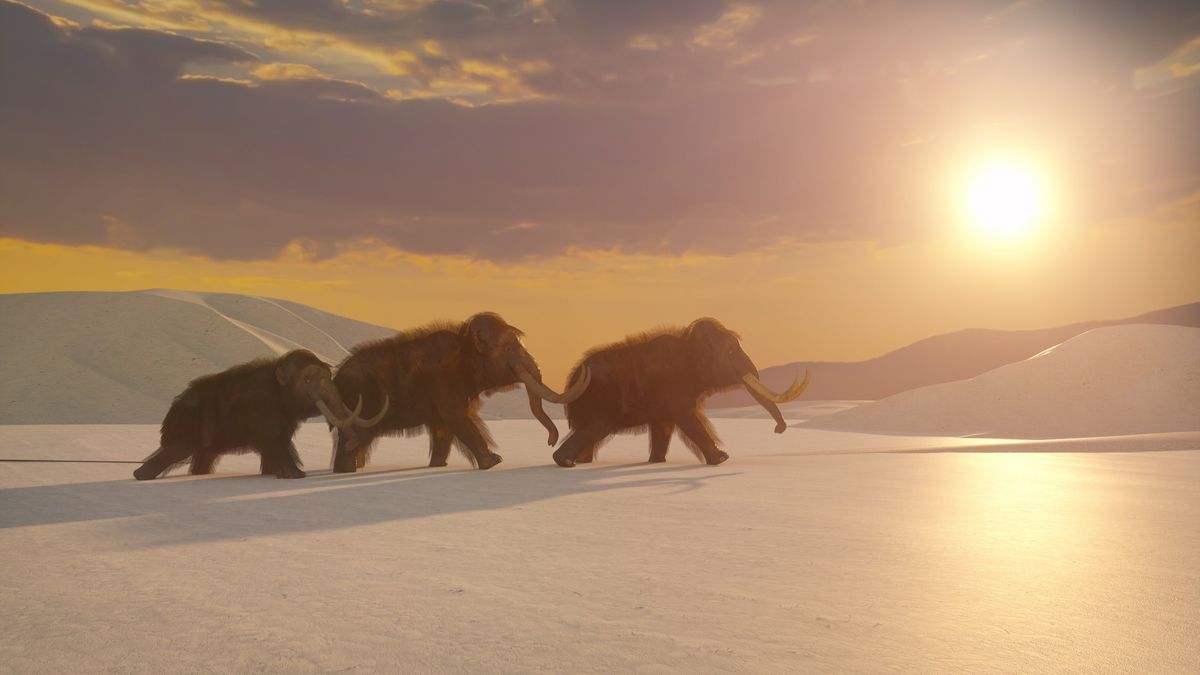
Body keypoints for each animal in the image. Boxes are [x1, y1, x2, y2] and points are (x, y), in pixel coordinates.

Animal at [133, 349, 384, 480]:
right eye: (308, 379)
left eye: (327, 376)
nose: (352, 444)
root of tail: (172, 410)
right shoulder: (263, 409)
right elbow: (275, 444)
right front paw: (297, 475)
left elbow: (276, 447)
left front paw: (274, 474)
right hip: (185, 434)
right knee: (169, 455)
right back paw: (140, 475)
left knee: (201, 461)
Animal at [330, 312, 591, 472]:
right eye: (508, 347)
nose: (550, 441)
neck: (464, 342)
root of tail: (335, 376)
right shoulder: (444, 380)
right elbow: (457, 417)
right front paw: (494, 461)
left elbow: (443, 429)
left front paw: (438, 466)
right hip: (359, 403)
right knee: (354, 438)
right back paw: (346, 471)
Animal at [551, 318, 808, 467]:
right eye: (731, 352)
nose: (779, 429)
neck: (688, 343)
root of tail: (572, 380)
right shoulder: (675, 389)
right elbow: (689, 420)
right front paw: (721, 459)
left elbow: (664, 427)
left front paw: (657, 461)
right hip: (601, 402)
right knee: (594, 430)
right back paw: (566, 462)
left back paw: (580, 461)